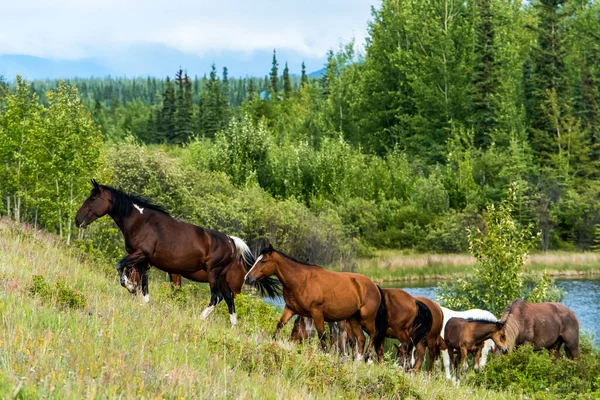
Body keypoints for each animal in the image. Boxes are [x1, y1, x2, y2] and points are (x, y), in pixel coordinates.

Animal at [75, 180, 282, 324]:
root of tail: (231, 242)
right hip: (221, 277)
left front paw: (131, 288)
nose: (78, 220)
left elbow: (121, 267)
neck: (141, 223)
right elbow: (143, 283)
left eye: (93, 199)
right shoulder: (143, 260)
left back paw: (200, 319)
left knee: (217, 297)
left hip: (214, 274)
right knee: (229, 298)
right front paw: (143, 301)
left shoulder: (140, 255)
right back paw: (233, 325)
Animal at [244, 244, 390, 362]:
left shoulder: (317, 312)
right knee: (361, 338)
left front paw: (325, 355)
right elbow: (280, 325)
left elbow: (322, 335)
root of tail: (375, 286)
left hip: (367, 318)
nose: (247, 278)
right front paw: (272, 344)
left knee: (373, 334)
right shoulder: (290, 309)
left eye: (263, 261)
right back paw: (358, 360)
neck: (301, 280)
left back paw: (366, 357)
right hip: (353, 319)